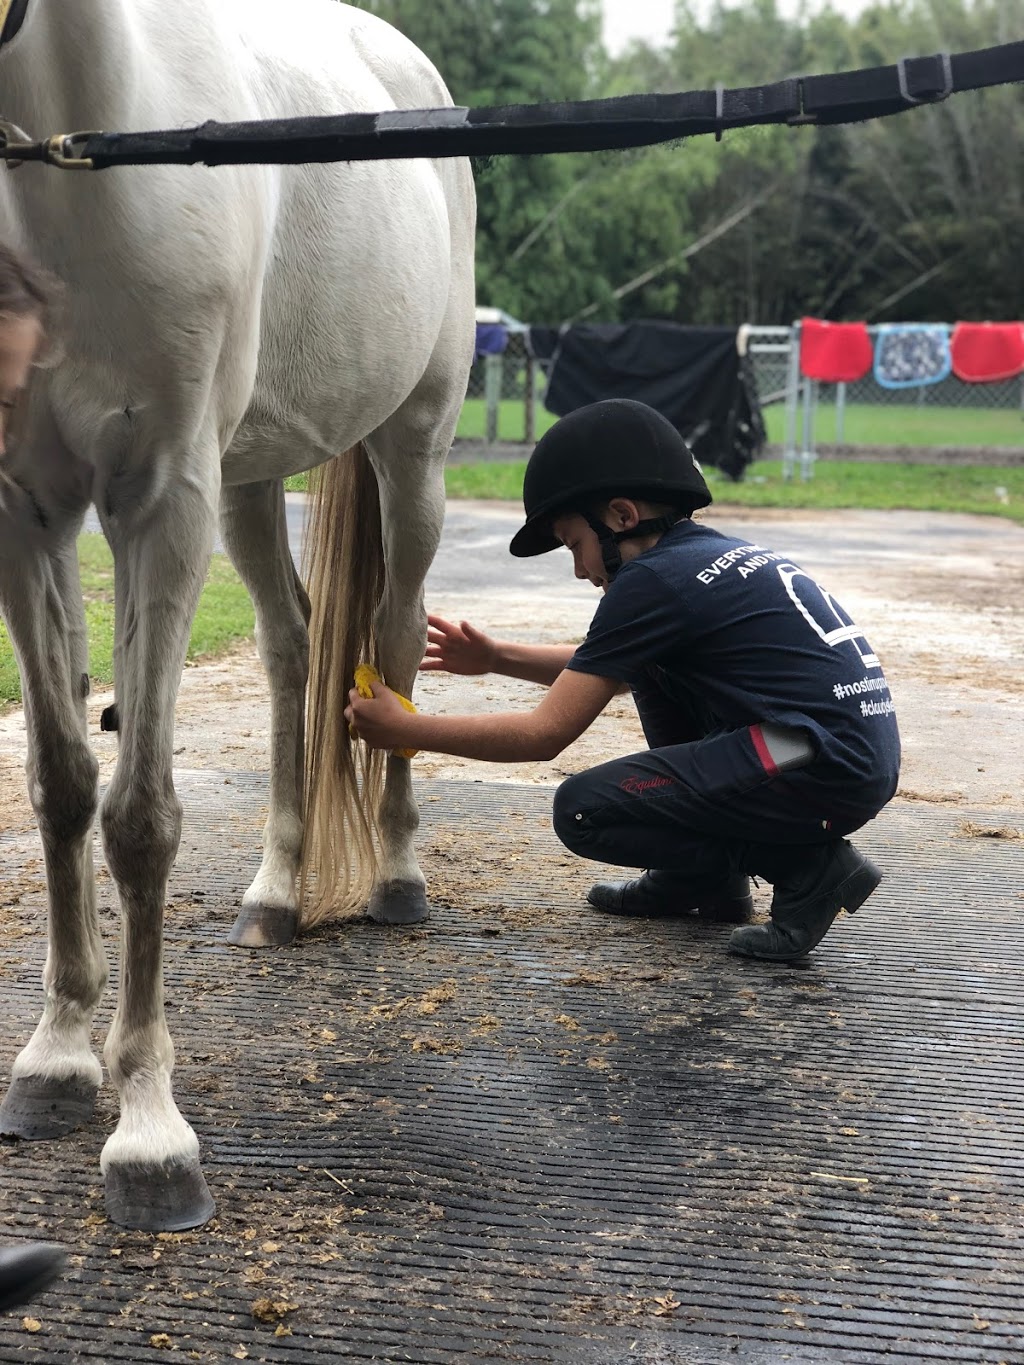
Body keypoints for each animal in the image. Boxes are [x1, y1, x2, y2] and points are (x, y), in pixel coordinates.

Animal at [0, 0, 477, 1233]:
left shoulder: (163, 502)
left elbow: (139, 819)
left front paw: (149, 1132)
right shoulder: (27, 510)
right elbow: (62, 786)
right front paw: (57, 1056)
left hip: (412, 454)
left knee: (392, 647)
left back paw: (396, 875)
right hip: (253, 486)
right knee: (292, 649)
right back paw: (275, 890)